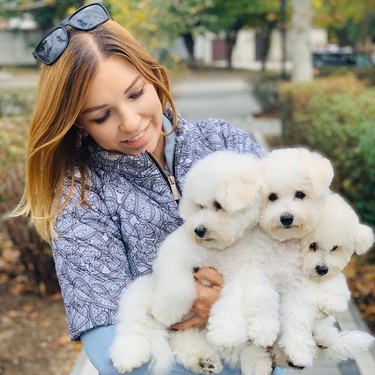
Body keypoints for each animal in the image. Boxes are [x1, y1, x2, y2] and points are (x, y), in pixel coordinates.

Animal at [110, 151, 262, 375]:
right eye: (199, 206)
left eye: (218, 205)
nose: (199, 230)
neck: (219, 250)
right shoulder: (173, 257)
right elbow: (176, 288)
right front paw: (166, 311)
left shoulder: (239, 276)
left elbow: (232, 303)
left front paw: (226, 333)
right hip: (139, 295)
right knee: (134, 327)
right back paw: (129, 355)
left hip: (189, 331)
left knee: (185, 341)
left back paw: (205, 361)